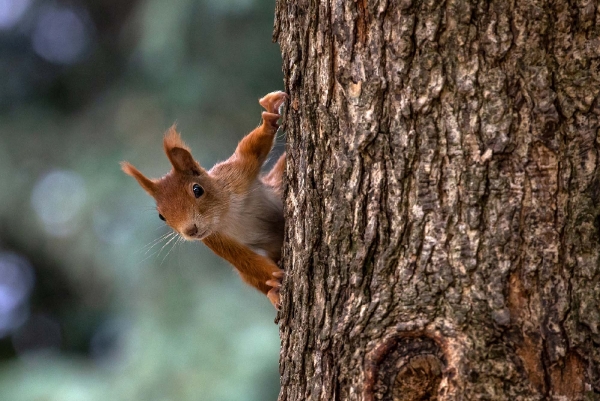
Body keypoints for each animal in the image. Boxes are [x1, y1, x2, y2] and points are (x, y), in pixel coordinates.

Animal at [121, 90, 286, 308]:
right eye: (161, 216)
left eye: (197, 189)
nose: (190, 231)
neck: (226, 213)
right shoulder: (216, 240)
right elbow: (246, 261)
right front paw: (276, 278)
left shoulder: (238, 173)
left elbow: (251, 149)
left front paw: (269, 117)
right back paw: (272, 292)